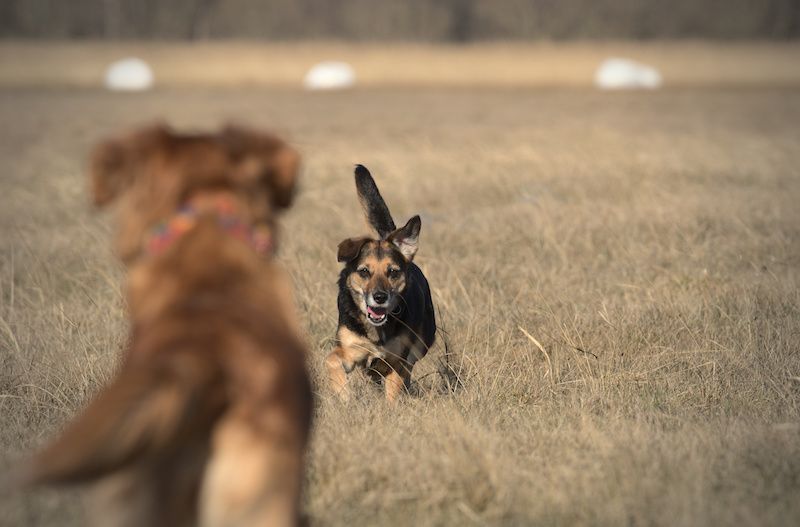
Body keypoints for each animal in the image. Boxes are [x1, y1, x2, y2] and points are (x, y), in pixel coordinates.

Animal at [324, 167, 438, 402]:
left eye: (392, 272)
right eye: (364, 271)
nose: (379, 297)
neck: (377, 332)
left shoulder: (397, 357)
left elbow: (393, 386)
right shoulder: (350, 348)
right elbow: (332, 359)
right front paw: (343, 394)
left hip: (422, 342)